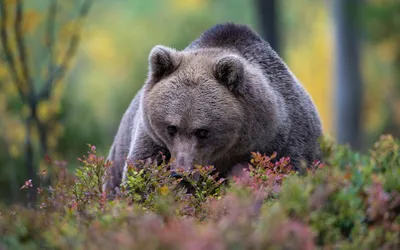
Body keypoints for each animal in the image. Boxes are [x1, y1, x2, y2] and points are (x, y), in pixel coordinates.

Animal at [102, 22, 322, 192]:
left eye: (202, 131)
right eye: (171, 128)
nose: (181, 173)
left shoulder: (283, 141)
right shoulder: (153, 140)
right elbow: (142, 173)